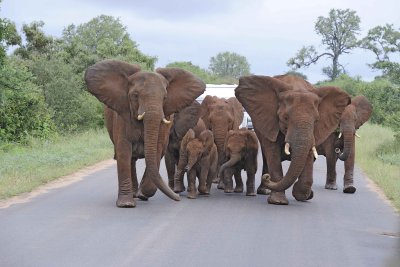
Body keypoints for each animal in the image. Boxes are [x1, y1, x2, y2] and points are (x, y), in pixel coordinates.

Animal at [83, 59, 205, 208]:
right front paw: (126, 204)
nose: (177, 198)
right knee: (130, 159)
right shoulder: (122, 116)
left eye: (165, 97)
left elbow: (157, 151)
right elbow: (123, 150)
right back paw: (133, 195)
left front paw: (144, 194)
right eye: (135, 96)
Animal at [234, 74, 350, 205]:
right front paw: (278, 201)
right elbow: (273, 153)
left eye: (316, 120)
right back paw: (265, 191)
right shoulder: (270, 122)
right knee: (266, 154)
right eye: (285, 118)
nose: (267, 178)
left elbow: (308, 155)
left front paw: (303, 195)